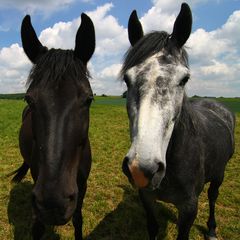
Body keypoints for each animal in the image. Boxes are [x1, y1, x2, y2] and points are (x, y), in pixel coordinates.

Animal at [10, 13, 94, 240]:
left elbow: (78, 219)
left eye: (89, 99)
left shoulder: (81, 187)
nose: (53, 204)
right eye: (29, 99)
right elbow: (38, 227)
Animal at [122, 3, 234, 240]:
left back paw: (211, 229)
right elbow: (153, 228)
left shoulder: (189, 207)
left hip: (219, 174)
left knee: (213, 197)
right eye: (127, 79)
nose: (141, 169)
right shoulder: (146, 198)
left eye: (184, 79)